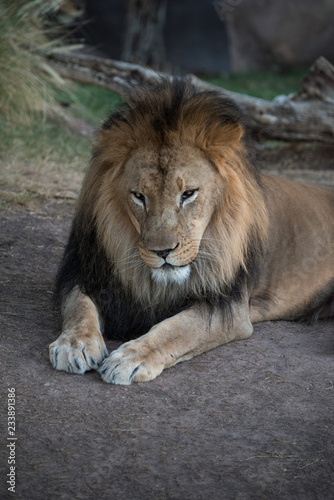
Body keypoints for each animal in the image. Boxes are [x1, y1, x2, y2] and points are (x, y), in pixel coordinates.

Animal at [49, 78, 334, 384]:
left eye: (188, 194)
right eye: (139, 196)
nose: (162, 251)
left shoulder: (230, 307)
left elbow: (177, 328)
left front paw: (131, 358)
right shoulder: (83, 273)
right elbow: (78, 306)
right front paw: (74, 344)